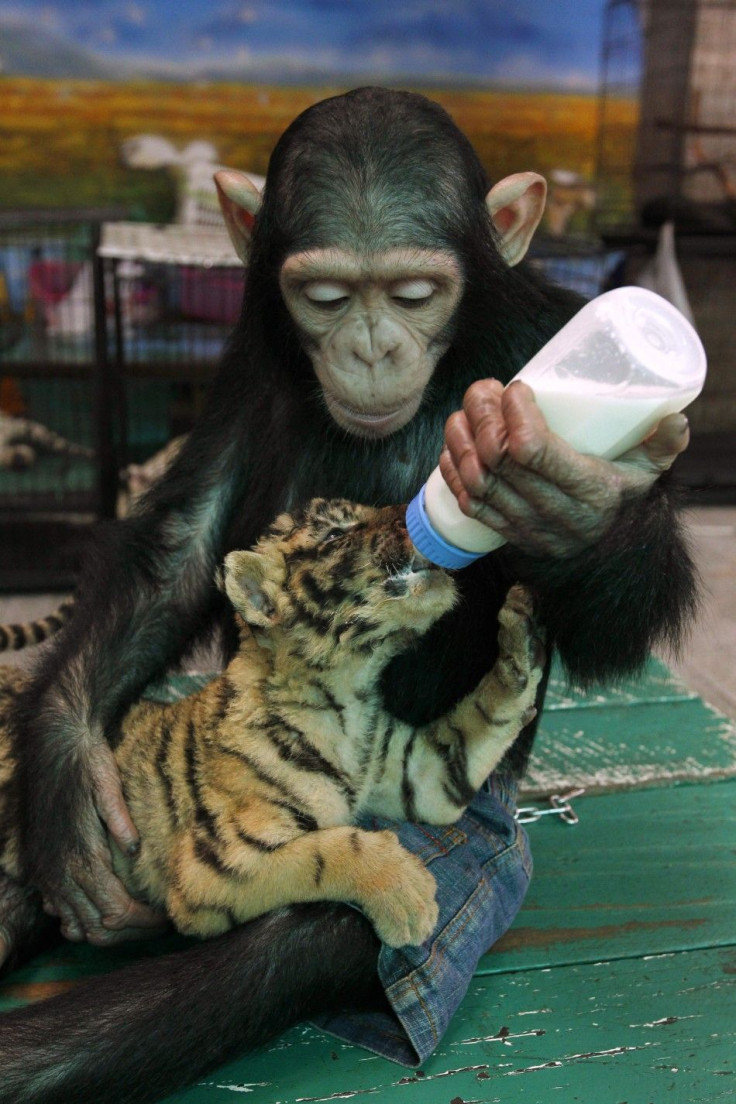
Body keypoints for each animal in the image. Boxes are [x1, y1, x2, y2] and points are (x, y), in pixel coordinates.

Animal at [0, 88, 697, 1104]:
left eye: (414, 292)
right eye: (324, 296)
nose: (369, 345)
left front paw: (578, 501)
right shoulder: (249, 361)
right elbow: (181, 544)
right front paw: (66, 786)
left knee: (303, 945)